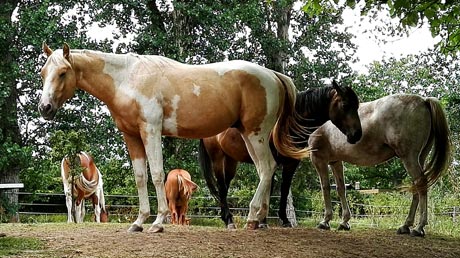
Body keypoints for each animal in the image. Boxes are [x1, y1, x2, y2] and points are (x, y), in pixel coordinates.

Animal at [199, 80, 362, 228]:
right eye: (345, 105)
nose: (357, 135)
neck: (287, 124)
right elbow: (269, 187)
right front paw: (262, 221)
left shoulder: (291, 163)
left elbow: (284, 189)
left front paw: (283, 220)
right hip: (217, 158)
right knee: (221, 186)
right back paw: (229, 220)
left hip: (231, 161)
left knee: (225, 186)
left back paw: (226, 217)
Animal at [310, 93, 452, 237]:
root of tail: (424, 101)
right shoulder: (335, 161)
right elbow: (341, 189)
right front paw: (344, 222)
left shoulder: (318, 158)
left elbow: (325, 188)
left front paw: (325, 221)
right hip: (420, 158)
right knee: (416, 187)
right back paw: (406, 226)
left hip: (409, 157)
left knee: (420, 184)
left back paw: (418, 228)